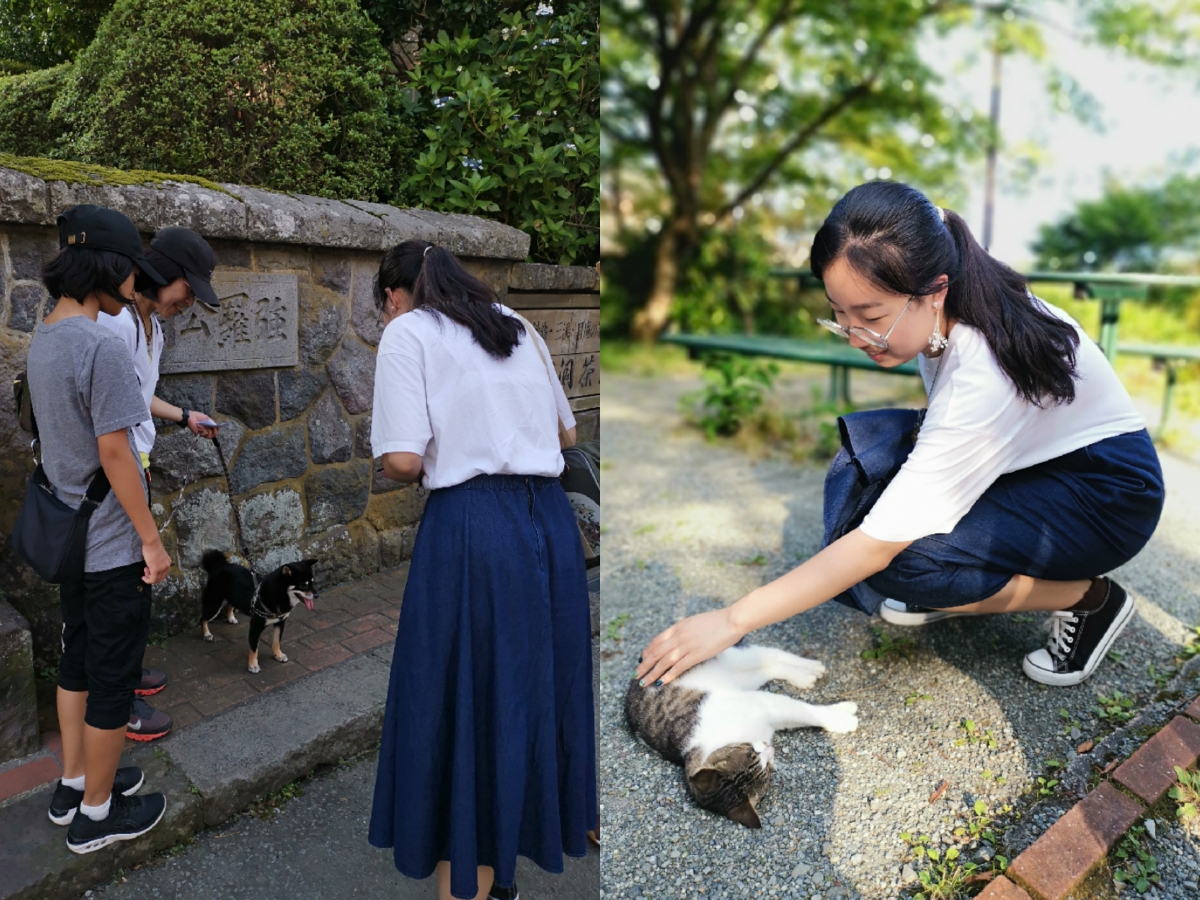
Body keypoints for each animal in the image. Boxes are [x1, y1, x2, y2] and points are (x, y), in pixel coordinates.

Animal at [624, 643, 859, 830]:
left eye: (749, 752)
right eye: (764, 773)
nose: (769, 750)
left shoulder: (765, 704)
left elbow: (806, 711)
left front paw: (842, 717)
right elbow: (803, 713)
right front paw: (842, 716)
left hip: (727, 657)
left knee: (769, 654)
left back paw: (810, 667)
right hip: (744, 679)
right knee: (770, 667)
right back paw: (804, 676)